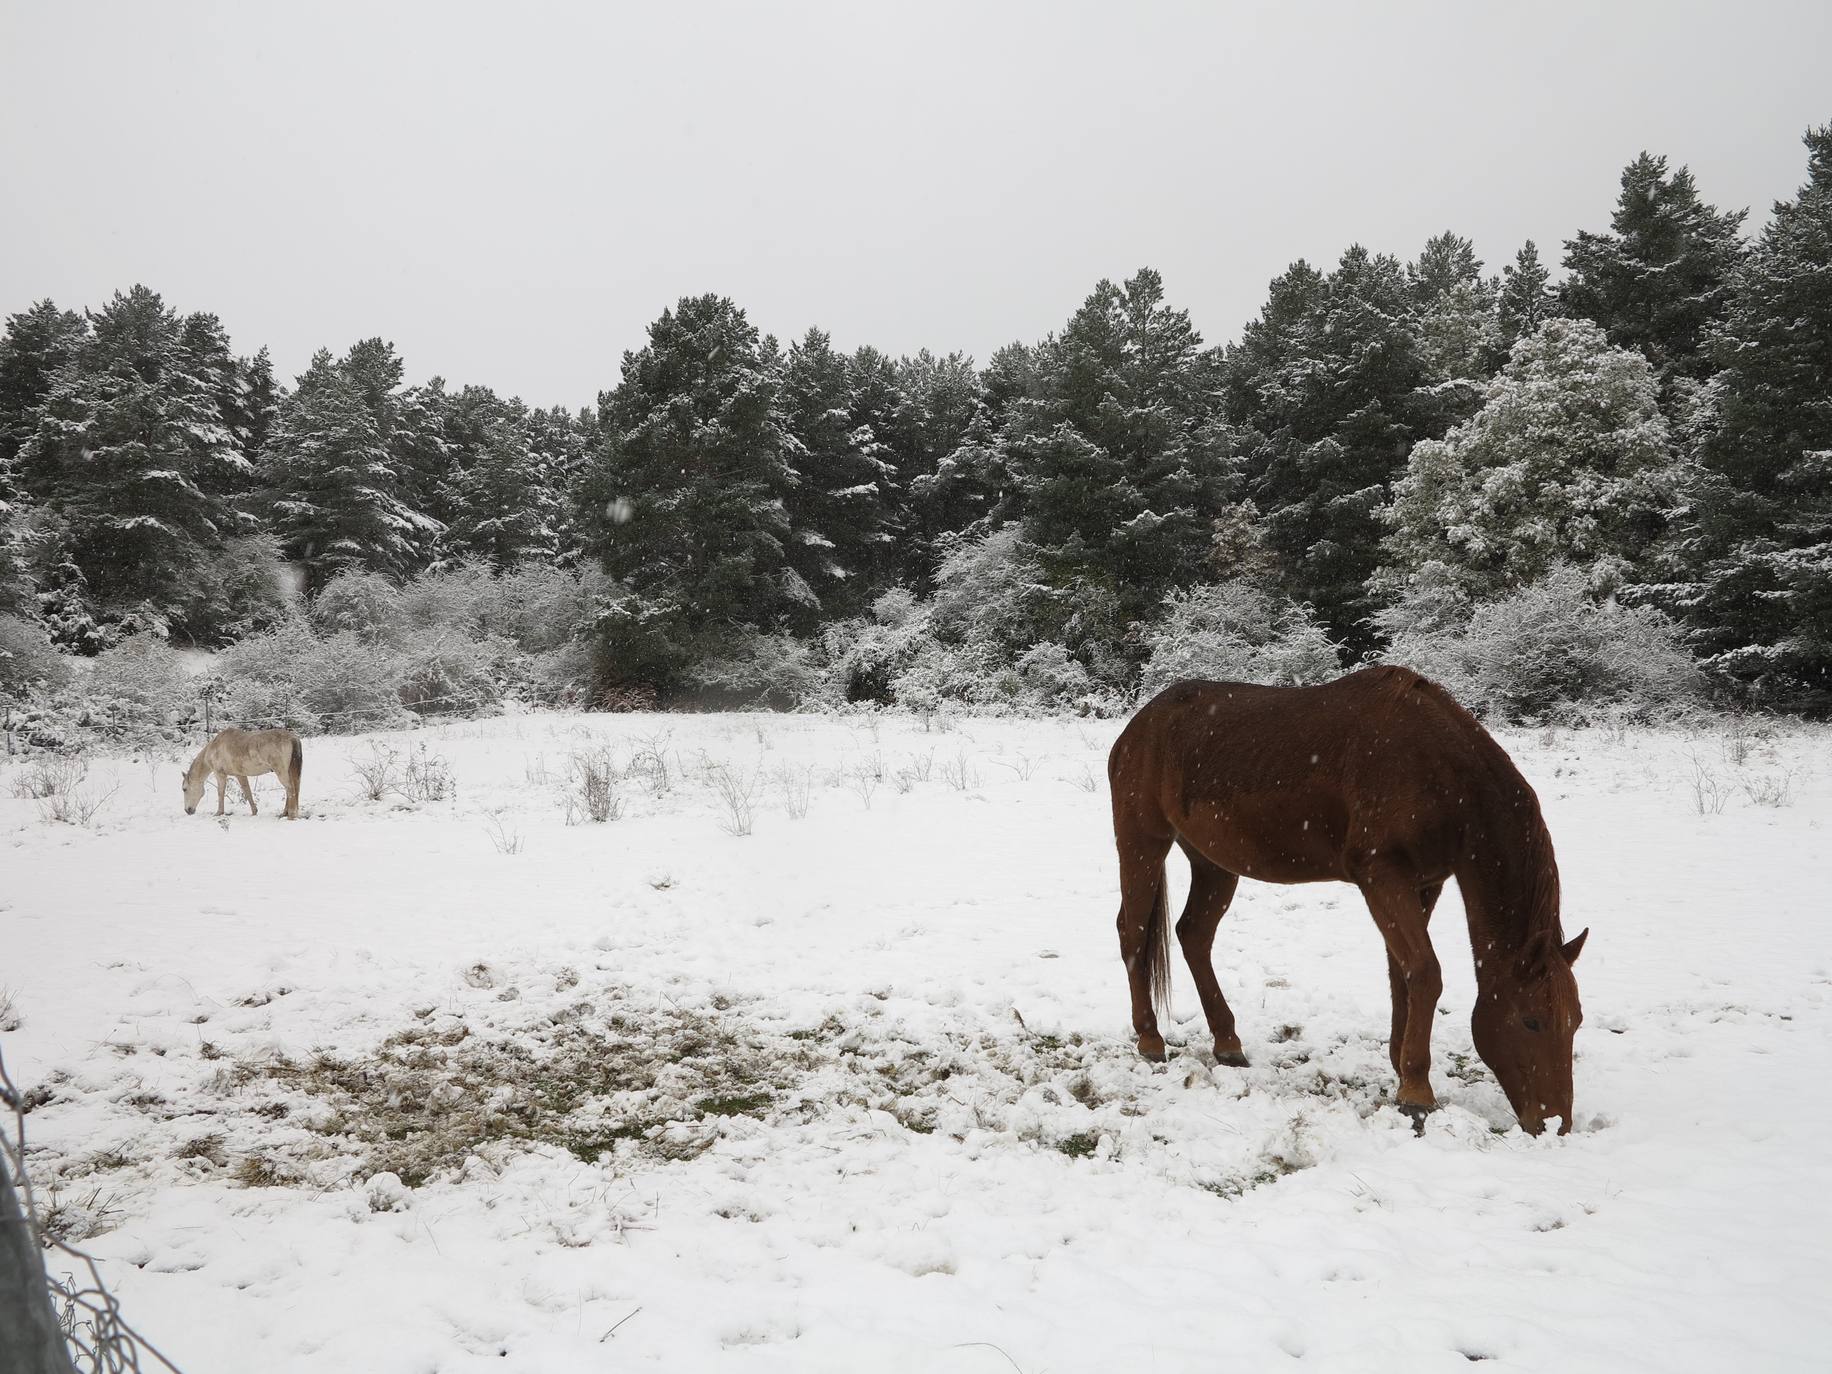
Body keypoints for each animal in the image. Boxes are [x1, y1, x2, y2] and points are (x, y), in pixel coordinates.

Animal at [1099, 670, 1590, 1143]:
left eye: (1576, 1021)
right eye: (1531, 1021)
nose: (1555, 1124)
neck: (1441, 770)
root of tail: (1137, 727)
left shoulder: (1424, 884)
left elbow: (1402, 974)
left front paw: (1400, 1065)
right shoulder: (1381, 877)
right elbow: (1425, 972)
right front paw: (1417, 1094)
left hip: (1214, 863)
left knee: (1194, 935)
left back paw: (1227, 1042)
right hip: (1144, 841)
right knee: (1133, 932)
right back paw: (1150, 1039)